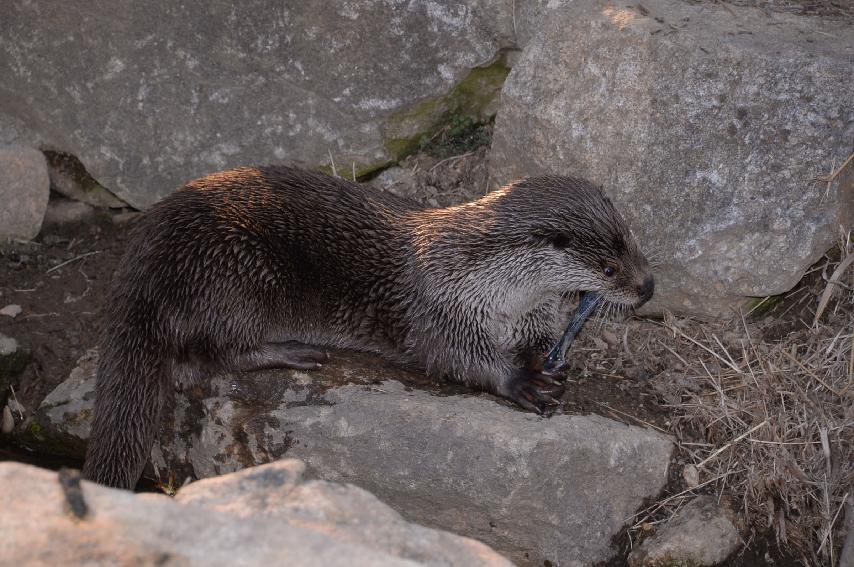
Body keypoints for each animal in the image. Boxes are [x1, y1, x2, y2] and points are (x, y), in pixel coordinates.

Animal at [83, 164, 656, 488]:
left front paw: (544, 360)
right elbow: (454, 357)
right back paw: (293, 352)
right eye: (609, 268)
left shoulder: (532, 310)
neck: (490, 284)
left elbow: (538, 339)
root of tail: (139, 260)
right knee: (211, 354)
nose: (648, 287)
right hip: (237, 273)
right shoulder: (438, 308)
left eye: (633, 243)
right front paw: (521, 380)